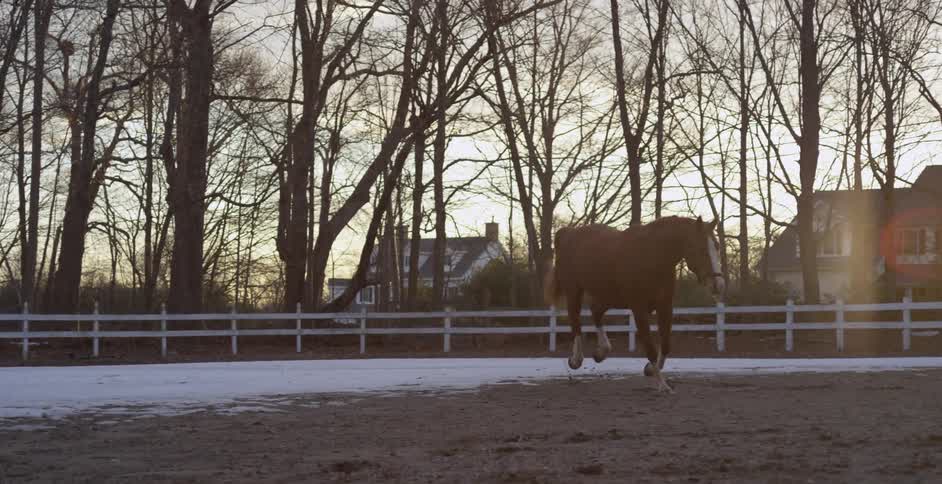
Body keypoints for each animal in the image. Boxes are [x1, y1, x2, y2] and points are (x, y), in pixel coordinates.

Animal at [544, 216, 725, 393]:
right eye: (701, 249)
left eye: (716, 246)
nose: (718, 285)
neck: (653, 256)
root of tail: (568, 233)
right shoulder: (639, 309)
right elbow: (650, 348)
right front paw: (663, 385)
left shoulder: (665, 306)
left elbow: (666, 344)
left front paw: (650, 369)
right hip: (574, 291)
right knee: (576, 322)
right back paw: (576, 360)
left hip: (609, 296)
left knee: (596, 312)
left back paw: (601, 352)